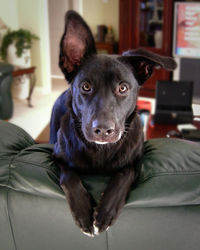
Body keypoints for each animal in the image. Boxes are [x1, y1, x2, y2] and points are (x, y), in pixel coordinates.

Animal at [49, 9, 175, 236]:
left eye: (123, 88)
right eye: (86, 86)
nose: (102, 130)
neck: (100, 150)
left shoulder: (135, 161)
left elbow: (125, 173)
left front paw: (106, 210)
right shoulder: (56, 156)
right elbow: (68, 175)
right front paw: (83, 211)